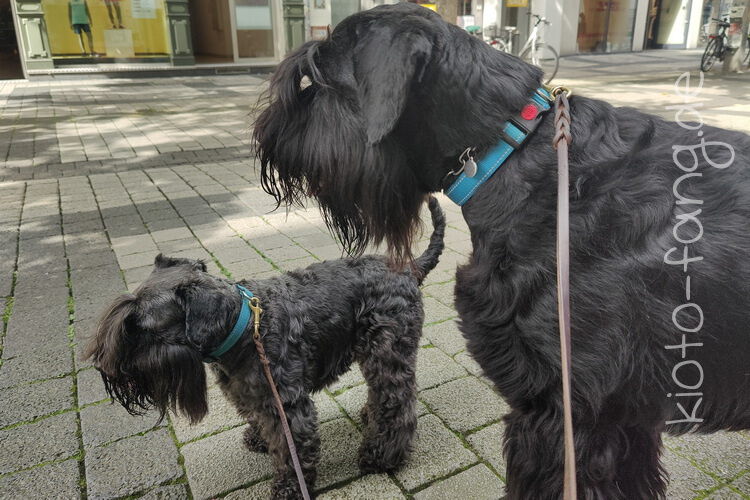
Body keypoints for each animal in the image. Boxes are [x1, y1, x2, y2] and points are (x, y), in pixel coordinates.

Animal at [84, 197, 445, 499]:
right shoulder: (249, 394)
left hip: (388, 353)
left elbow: (291, 455)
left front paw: (288, 491)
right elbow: (259, 421)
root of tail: (410, 268)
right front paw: (258, 438)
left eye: (138, 327)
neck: (243, 326)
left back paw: (381, 456)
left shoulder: (289, 408)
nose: (103, 368)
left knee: (397, 401)